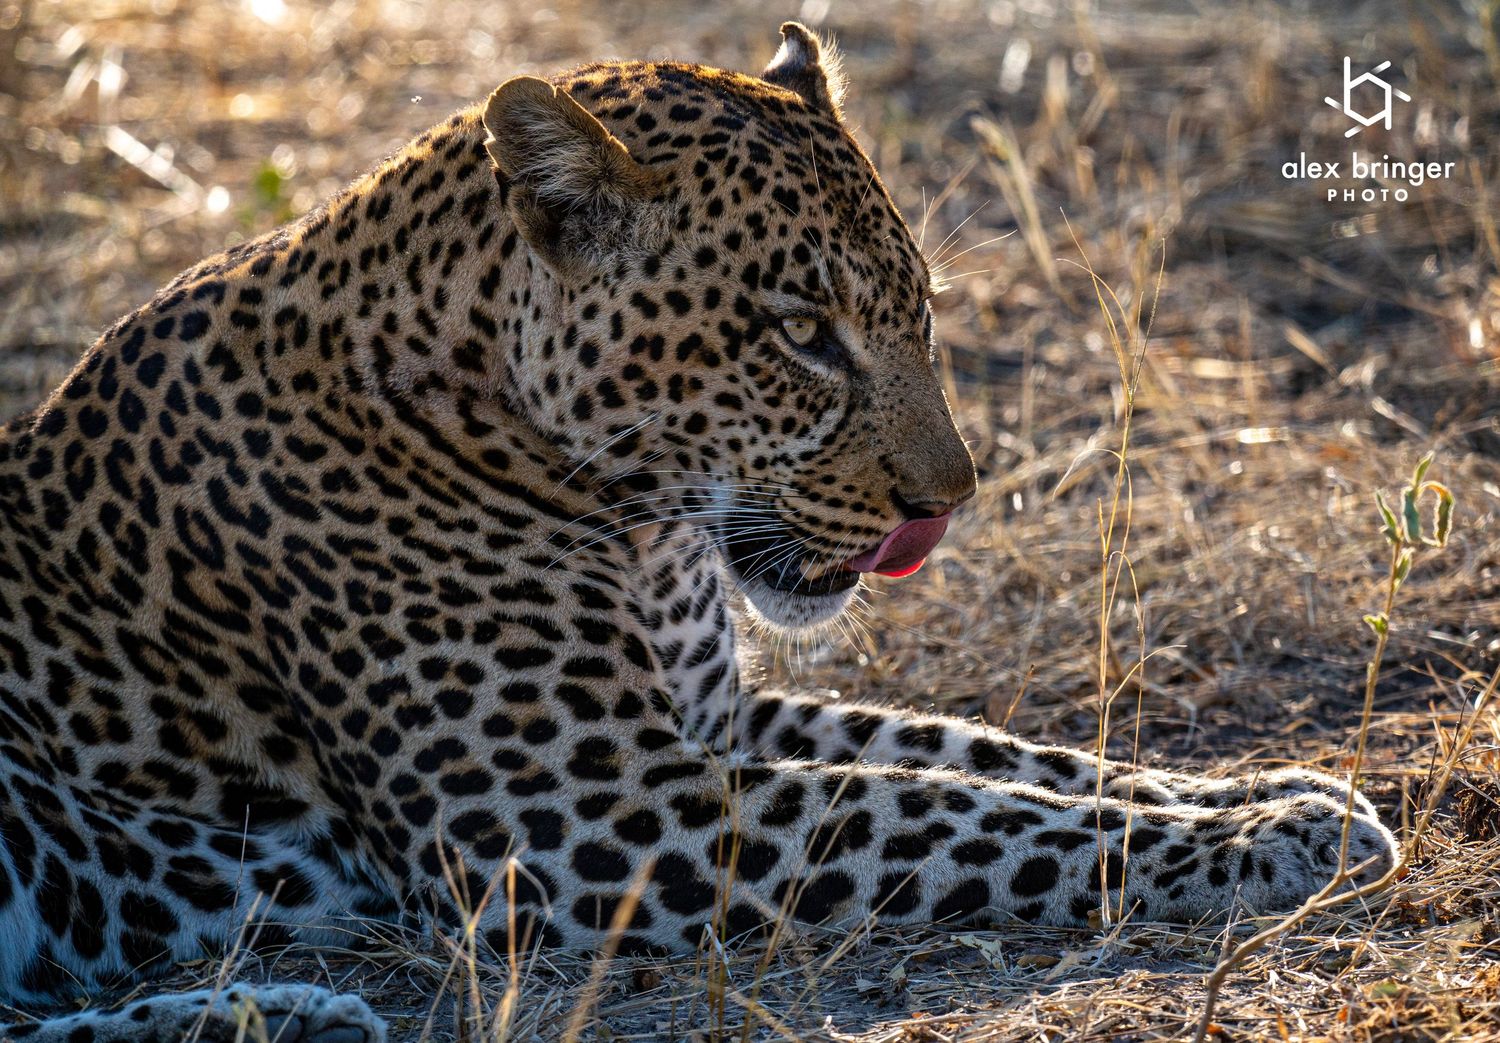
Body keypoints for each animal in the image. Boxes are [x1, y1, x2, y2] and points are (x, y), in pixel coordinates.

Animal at [0, 24, 1398, 1042]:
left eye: (919, 311)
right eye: (802, 332)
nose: (948, 501)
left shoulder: (709, 720)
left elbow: (995, 753)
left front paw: (1276, 791)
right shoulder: (579, 814)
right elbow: (942, 810)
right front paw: (1271, 837)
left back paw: (281, 1012)